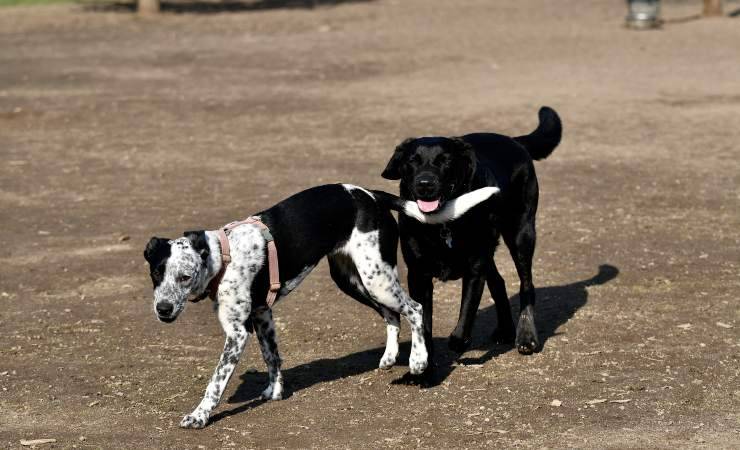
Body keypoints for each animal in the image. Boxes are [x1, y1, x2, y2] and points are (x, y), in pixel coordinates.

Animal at [142, 184, 494, 428]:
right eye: (156, 273)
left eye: (185, 276)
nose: (163, 310)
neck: (222, 257)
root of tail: (373, 196)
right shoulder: (263, 315)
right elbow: (273, 357)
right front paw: (274, 392)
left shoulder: (237, 333)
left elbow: (215, 383)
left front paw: (199, 416)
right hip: (353, 280)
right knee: (393, 315)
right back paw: (390, 357)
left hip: (377, 279)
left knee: (415, 308)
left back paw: (418, 361)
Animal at [382, 105, 560, 358]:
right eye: (412, 161)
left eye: (444, 160)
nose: (425, 184)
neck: (442, 224)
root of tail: (514, 141)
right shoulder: (418, 274)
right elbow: (424, 323)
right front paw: (425, 361)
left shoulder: (475, 269)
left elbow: (466, 315)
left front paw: (459, 342)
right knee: (499, 282)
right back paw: (505, 330)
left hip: (521, 235)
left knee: (527, 285)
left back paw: (526, 337)